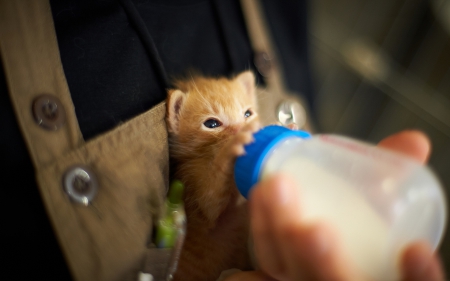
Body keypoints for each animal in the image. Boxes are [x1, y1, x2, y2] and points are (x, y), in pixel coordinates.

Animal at [166, 70, 260, 280]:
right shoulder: (194, 188)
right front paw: (232, 147)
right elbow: (211, 198)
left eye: (247, 114)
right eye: (212, 123)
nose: (241, 129)